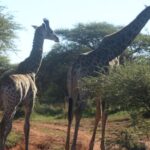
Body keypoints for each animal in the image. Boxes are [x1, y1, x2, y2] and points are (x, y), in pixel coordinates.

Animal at [0, 18, 59, 150]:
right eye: (51, 31)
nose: (57, 38)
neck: (31, 70)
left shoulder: (17, 106)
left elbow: (9, 129)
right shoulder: (29, 102)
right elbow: (26, 127)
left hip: (8, 106)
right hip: (9, 105)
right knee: (2, 125)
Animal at [65, 5, 150, 149]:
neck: (113, 50)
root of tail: (74, 68)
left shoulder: (99, 87)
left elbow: (98, 114)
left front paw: (92, 145)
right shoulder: (108, 84)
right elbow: (105, 114)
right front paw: (102, 146)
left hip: (72, 87)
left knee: (71, 113)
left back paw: (66, 146)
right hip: (84, 88)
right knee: (79, 111)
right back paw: (73, 146)